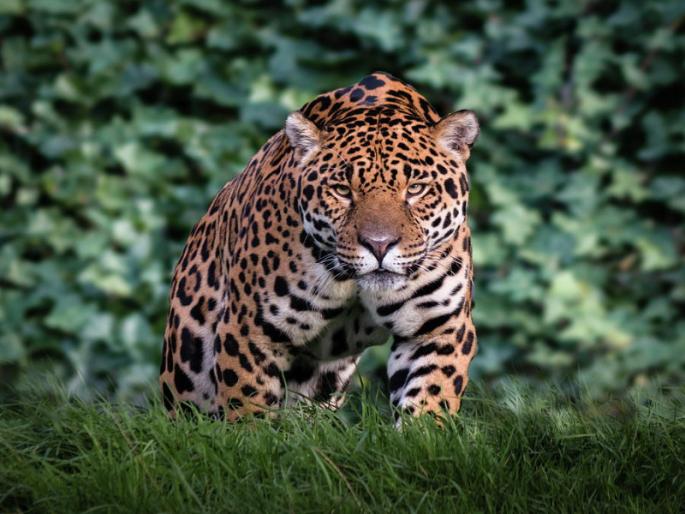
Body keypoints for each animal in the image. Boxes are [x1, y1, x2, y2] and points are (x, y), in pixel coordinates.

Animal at [159, 71, 479, 422]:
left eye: (417, 188)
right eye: (342, 190)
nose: (379, 245)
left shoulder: (439, 328)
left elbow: (430, 401)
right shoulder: (250, 333)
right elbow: (249, 410)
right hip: (188, 367)